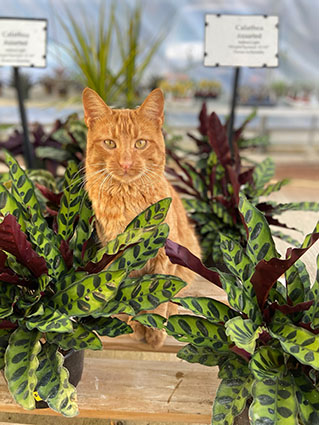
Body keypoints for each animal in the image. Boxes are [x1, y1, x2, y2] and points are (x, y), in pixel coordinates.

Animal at [84, 88, 201, 346]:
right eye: (110, 143)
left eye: (140, 143)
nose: (126, 163)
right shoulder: (117, 254)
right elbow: (126, 291)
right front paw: (130, 322)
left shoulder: (164, 254)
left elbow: (158, 296)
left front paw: (153, 329)